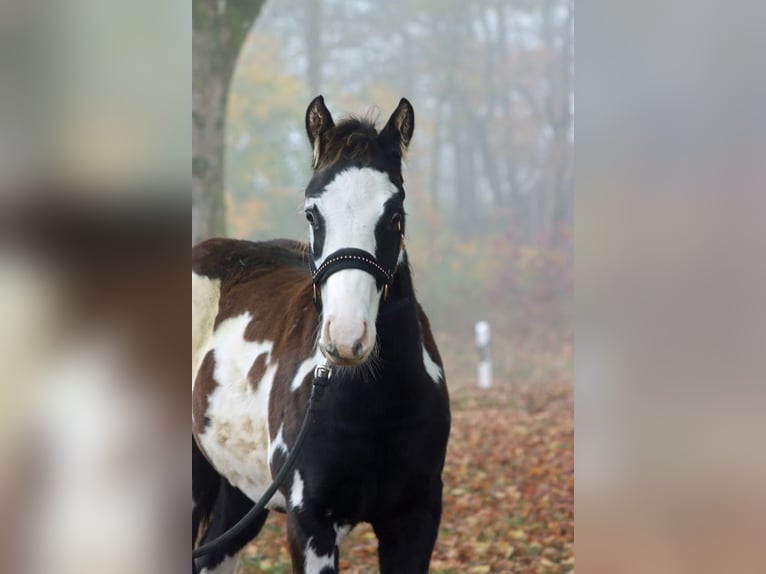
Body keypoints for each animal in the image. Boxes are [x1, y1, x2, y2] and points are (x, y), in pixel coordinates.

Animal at [192, 97, 452, 572]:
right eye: (313, 213)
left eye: (395, 214)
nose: (347, 338)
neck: (373, 404)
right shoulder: (311, 526)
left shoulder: (415, 521)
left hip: (239, 494)